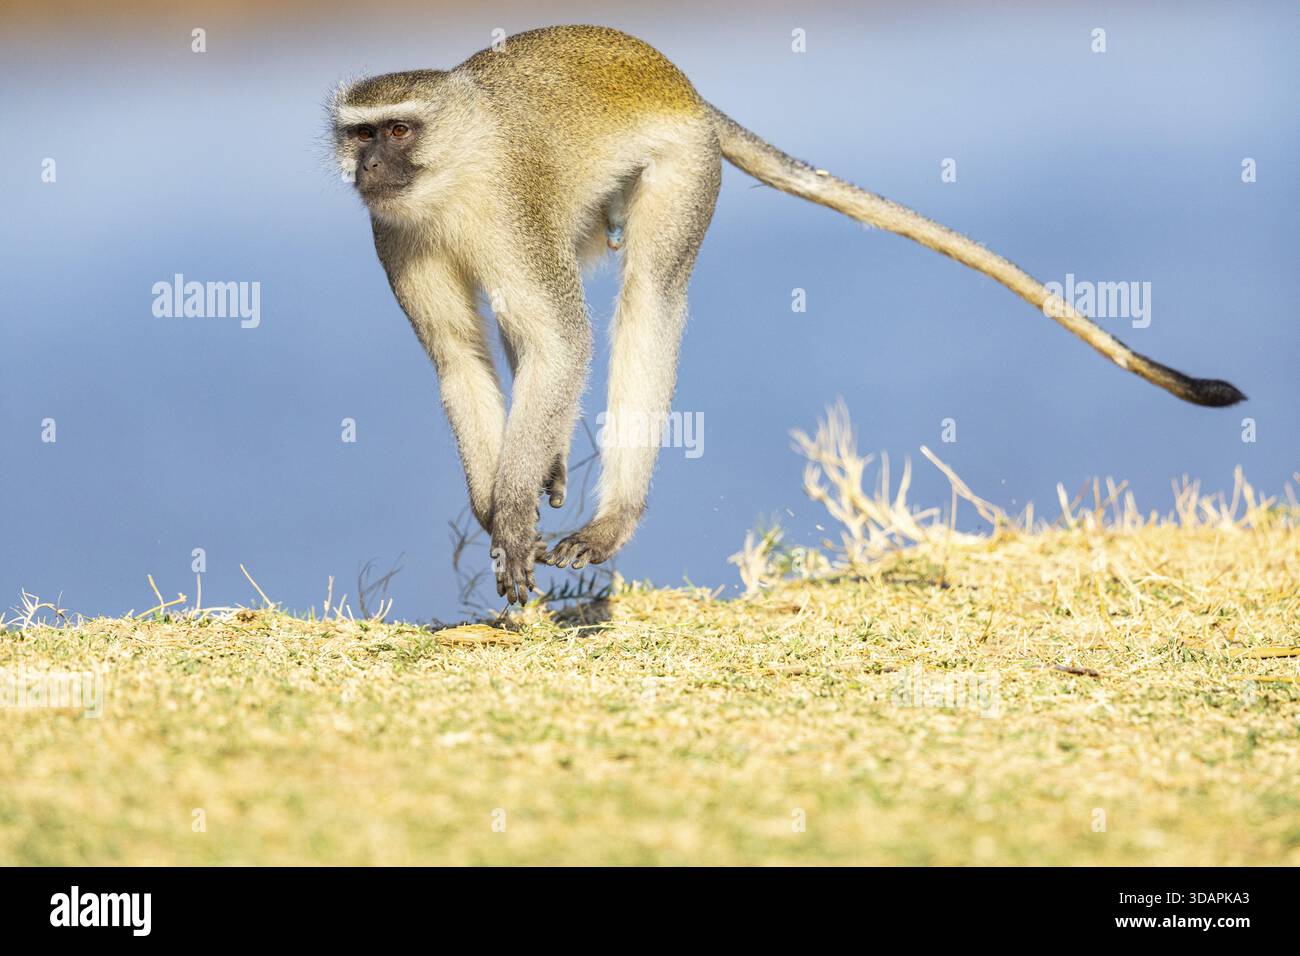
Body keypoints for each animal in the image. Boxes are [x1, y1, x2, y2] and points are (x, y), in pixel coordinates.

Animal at [329, 24, 1245, 606]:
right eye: (360, 136)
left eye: (399, 131)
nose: (367, 169)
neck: (452, 176)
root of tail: (687, 90)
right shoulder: (393, 233)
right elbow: (459, 356)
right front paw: (499, 503)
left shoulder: (509, 211)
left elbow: (562, 338)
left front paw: (512, 510)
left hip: (685, 164)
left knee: (647, 300)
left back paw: (613, 518)